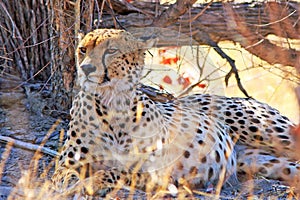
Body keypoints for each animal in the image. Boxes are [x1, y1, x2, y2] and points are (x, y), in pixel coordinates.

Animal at [52, 28, 300, 198]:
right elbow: (65, 177)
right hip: (261, 161)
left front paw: (94, 183)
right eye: (83, 50)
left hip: (273, 133)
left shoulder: (157, 172)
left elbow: (116, 171)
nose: (86, 68)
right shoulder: (66, 165)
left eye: (111, 51)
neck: (110, 102)